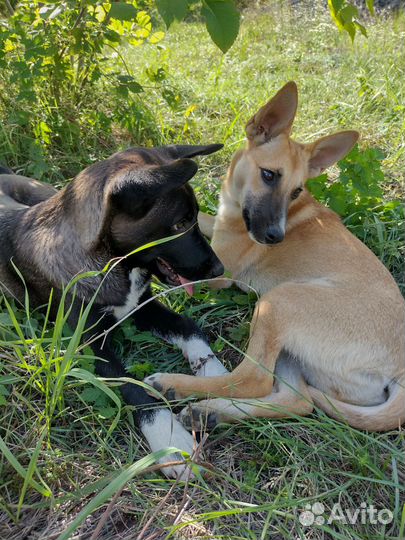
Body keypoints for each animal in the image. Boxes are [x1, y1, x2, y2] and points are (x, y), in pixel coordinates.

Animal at [0, 143, 229, 476]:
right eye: (180, 224)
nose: (219, 269)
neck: (112, 262)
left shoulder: (142, 307)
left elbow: (189, 327)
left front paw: (214, 376)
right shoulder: (93, 345)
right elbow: (132, 387)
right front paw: (170, 439)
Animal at [144, 82, 404, 432]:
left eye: (296, 191)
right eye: (269, 175)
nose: (276, 238)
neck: (235, 206)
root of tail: (399, 370)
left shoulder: (217, 273)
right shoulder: (218, 228)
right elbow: (201, 222)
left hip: (279, 301)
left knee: (253, 379)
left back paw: (174, 385)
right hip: (289, 346)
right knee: (297, 401)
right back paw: (211, 412)